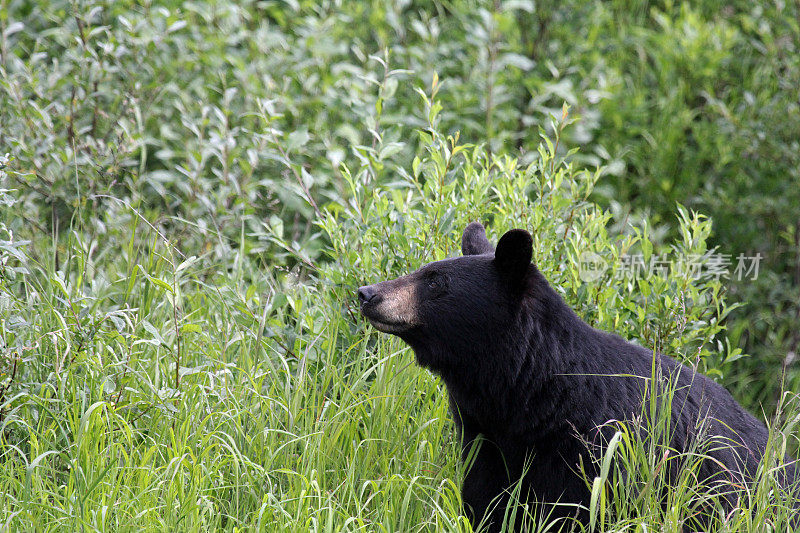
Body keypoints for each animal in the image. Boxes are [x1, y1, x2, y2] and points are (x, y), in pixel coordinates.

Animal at [360, 221, 792, 528]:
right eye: (424, 269)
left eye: (435, 280)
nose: (367, 293)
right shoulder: (488, 445)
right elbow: (487, 503)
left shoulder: (604, 454)